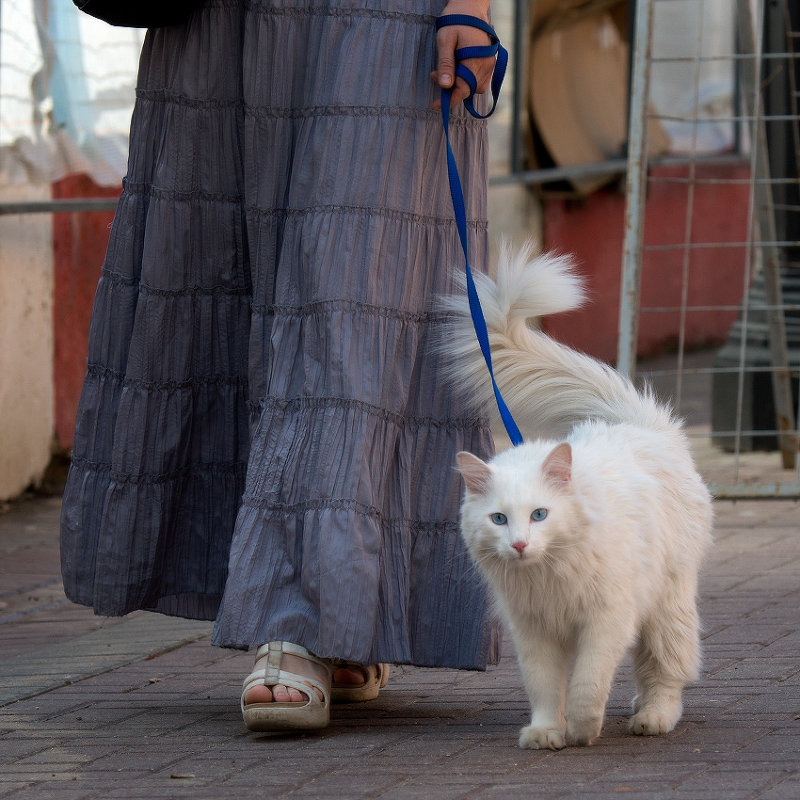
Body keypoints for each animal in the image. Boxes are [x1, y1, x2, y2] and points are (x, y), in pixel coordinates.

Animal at [444, 242, 712, 752]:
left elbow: (589, 681)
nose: (520, 545)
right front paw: (547, 732)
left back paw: (652, 717)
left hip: (666, 606)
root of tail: (635, 423)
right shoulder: (533, 632)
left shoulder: (605, 620)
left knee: (666, 671)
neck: (549, 575)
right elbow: (545, 687)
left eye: (540, 514)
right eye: (499, 520)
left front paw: (583, 729)